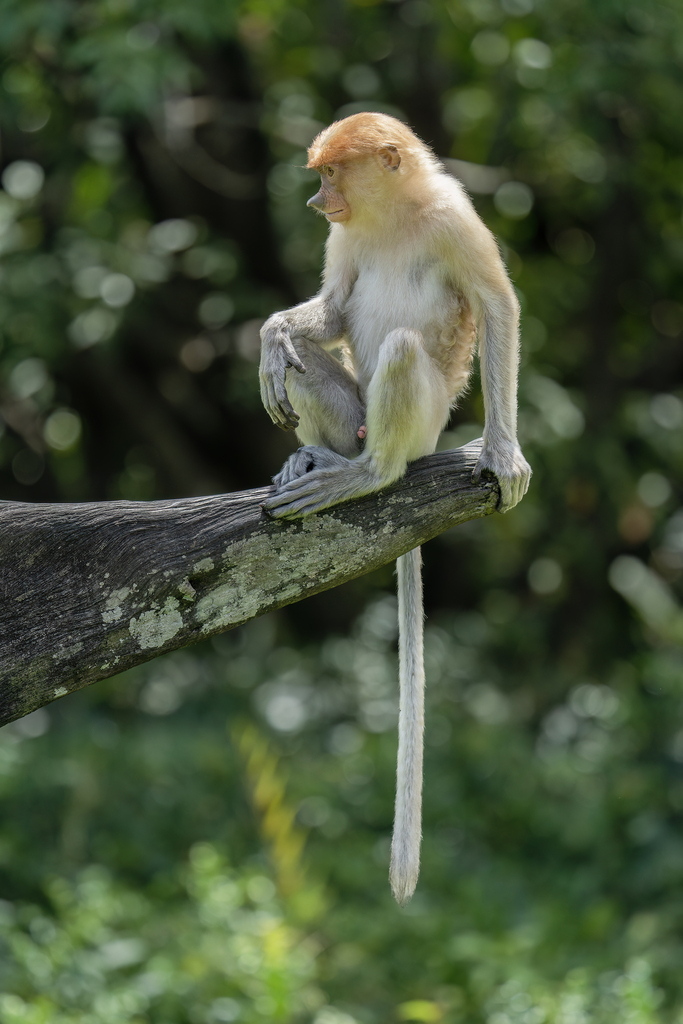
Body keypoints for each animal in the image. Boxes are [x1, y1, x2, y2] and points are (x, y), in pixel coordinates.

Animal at [259, 112, 531, 904]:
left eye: (328, 173)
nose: (316, 204)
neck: (394, 214)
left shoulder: (456, 221)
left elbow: (496, 306)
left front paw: (504, 454)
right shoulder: (345, 241)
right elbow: (331, 305)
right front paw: (272, 335)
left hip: (422, 421)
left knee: (406, 352)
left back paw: (367, 474)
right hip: (349, 411)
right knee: (305, 371)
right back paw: (314, 457)